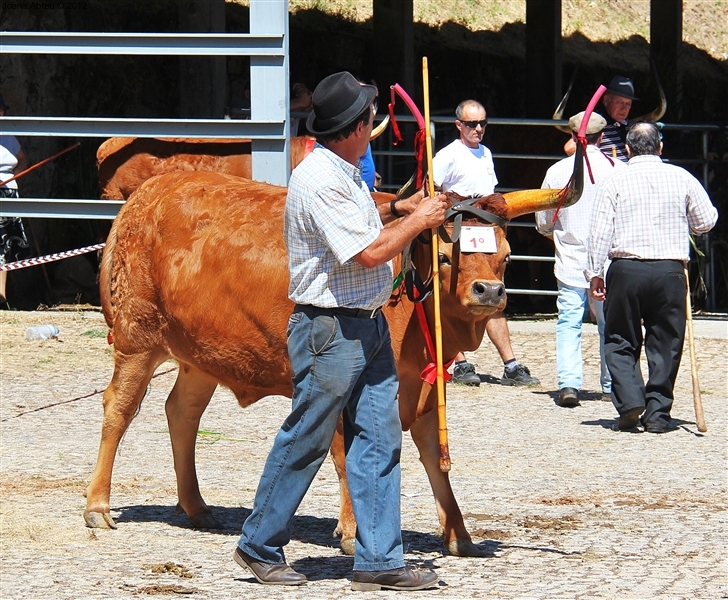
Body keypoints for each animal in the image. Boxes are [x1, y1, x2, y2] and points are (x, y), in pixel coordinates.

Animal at [85, 162, 584, 556]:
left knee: (182, 414)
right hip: (138, 337)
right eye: (446, 257)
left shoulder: (422, 390)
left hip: (200, 354)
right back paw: (98, 506)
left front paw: (457, 532)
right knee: (119, 409)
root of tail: (147, 195)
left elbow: (431, 457)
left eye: (506, 257)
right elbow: (348, 455)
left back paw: (196, 506)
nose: (490, 292)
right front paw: (352, 530)